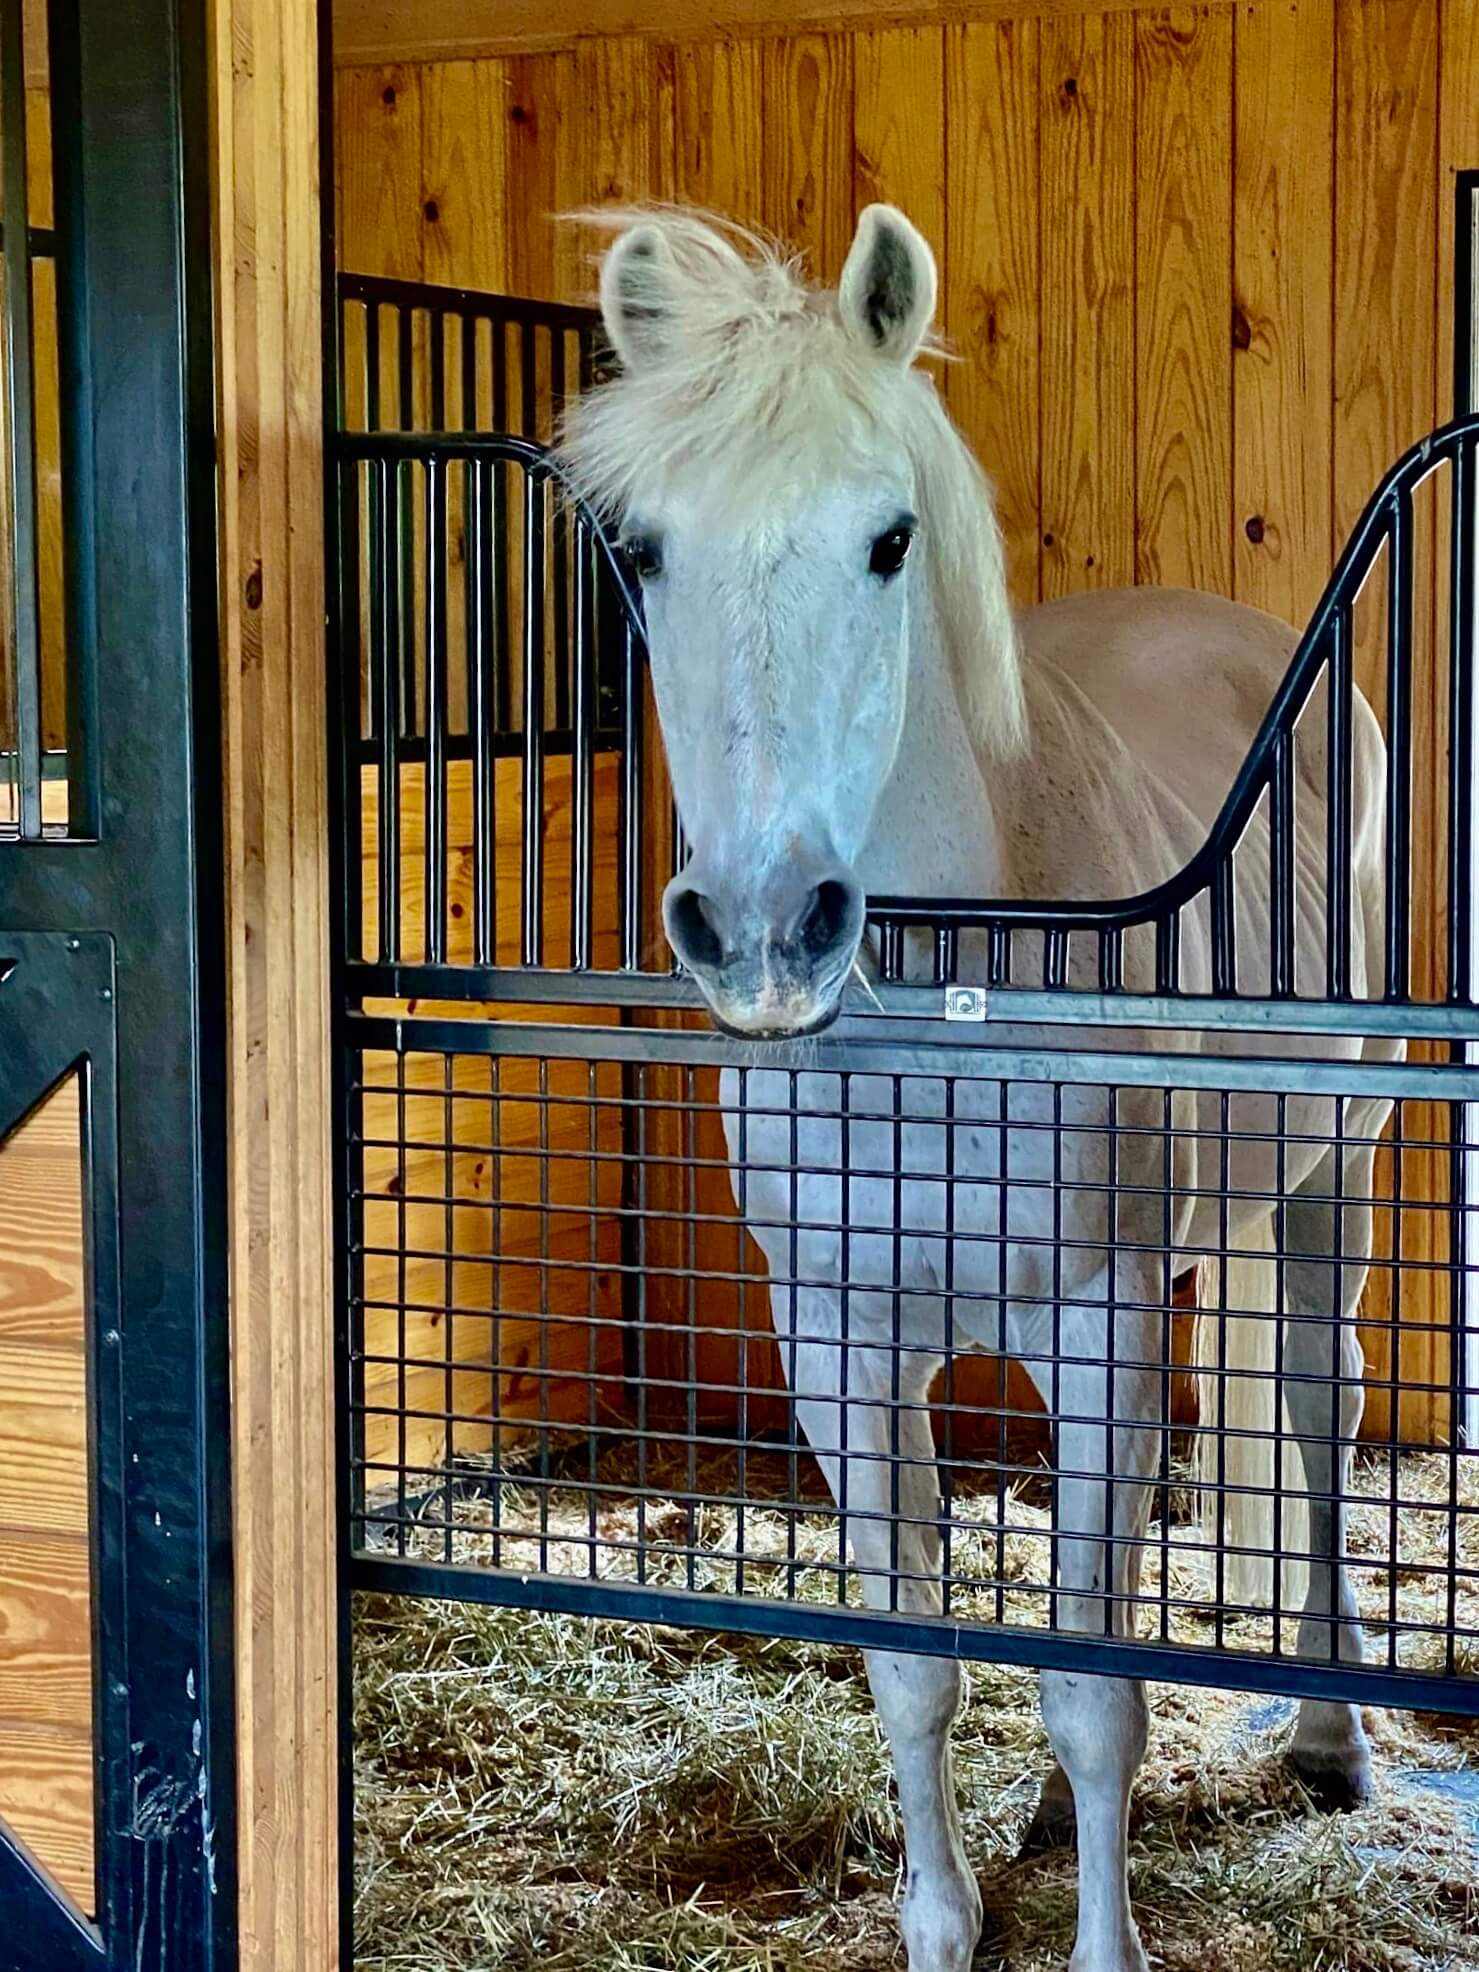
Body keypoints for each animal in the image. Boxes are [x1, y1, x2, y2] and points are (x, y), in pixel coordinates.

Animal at [560, 204, 1404, 1972]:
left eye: (888, 540)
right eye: (648, 551)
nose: (763, 930)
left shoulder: (1091, 1321)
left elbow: (1093, 1694)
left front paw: (1102, 1943)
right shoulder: (838, 1343)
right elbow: (917, 1667)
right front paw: (942, 1924)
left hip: (1329, 1178)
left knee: (1315, 1404)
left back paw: (1327, 1734)